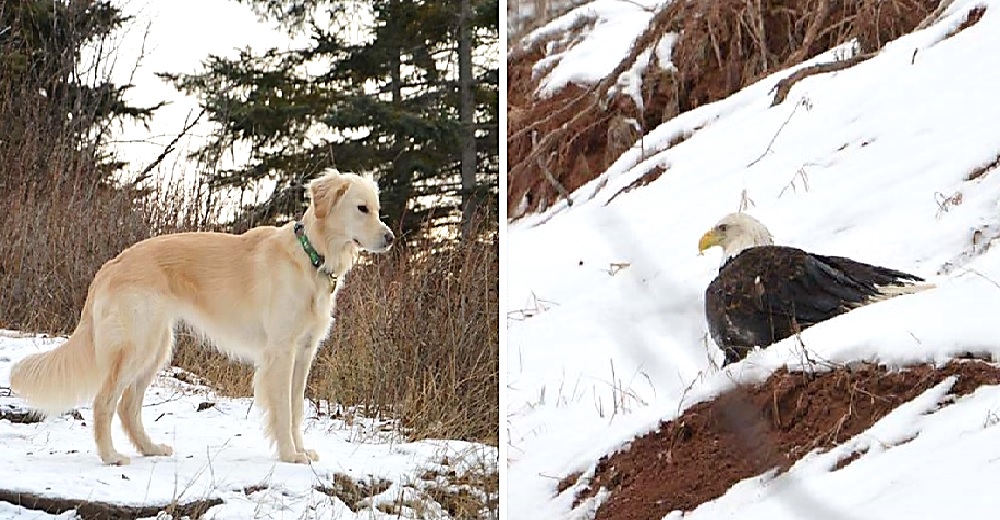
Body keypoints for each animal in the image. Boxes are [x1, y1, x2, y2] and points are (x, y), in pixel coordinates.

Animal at [11, 173, 396, 466]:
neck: (311, 256)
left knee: (127, 406)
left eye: (377, 209)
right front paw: (290, 455)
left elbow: (296, 408)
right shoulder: (281, 352)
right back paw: (111, 456)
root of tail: (109, 267)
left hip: (157, 348)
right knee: (104, 402)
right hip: (137, 347)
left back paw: (150, 448)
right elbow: (283, 410)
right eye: (361, 208)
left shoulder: (304, 353)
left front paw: (301, 450)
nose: (390, 238)